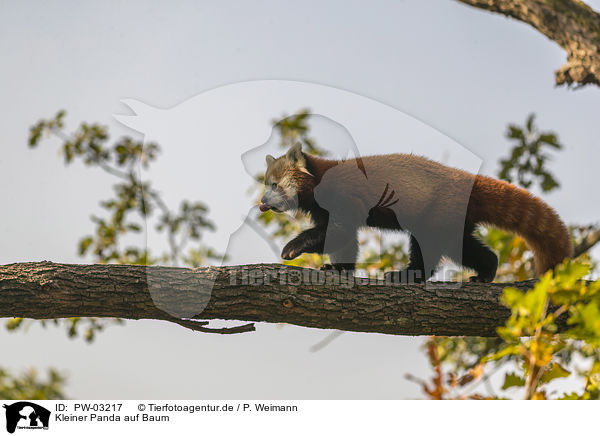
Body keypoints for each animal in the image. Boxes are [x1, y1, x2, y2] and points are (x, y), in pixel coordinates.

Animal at [260, 143, 576, 282]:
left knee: (432, 247)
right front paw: (338, 269)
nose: (262, 201)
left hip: (439, 211)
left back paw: (410, 275)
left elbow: (340, 232)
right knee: (463, 246)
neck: (318, 181)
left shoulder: (345, 198)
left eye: (274, 185)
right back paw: (487, 270)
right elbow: (343, 241)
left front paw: (294, 247)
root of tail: (466, 181)